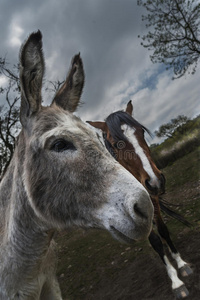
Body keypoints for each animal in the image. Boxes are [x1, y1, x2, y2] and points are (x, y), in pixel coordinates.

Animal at [87, 100, 192, 298]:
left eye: (141, 132)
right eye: (116, 143)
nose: (156, 181)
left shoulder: (154, 201)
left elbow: (164, 231)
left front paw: (181, 264)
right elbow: (156, 242)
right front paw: (176, 281)